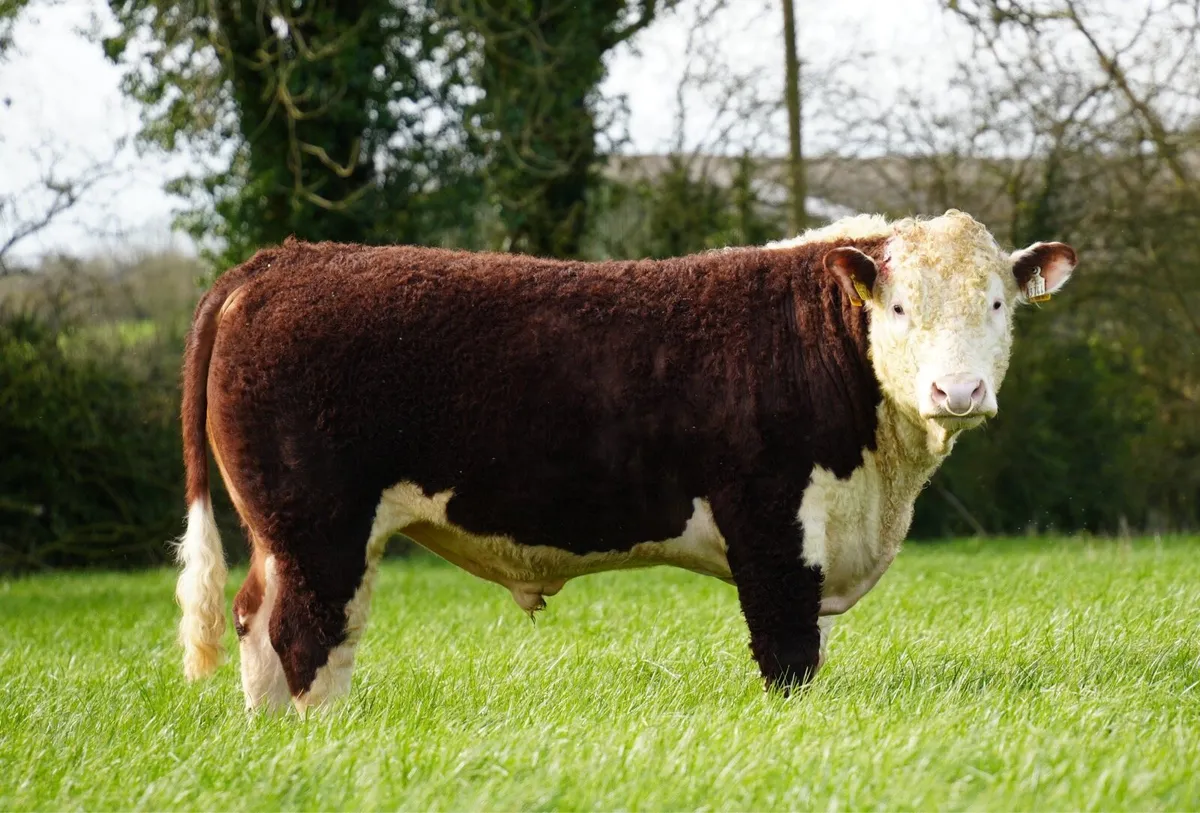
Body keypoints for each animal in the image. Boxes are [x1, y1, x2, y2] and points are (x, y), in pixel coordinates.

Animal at [172, 209, 1077, 713]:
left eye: (998, 302)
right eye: (897, 307)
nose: (957, 390)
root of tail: (282, 260)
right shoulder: (771, 522)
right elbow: (787, 651)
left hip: (289, 531)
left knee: (261, 617)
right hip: (318, 524)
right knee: (304, 632)